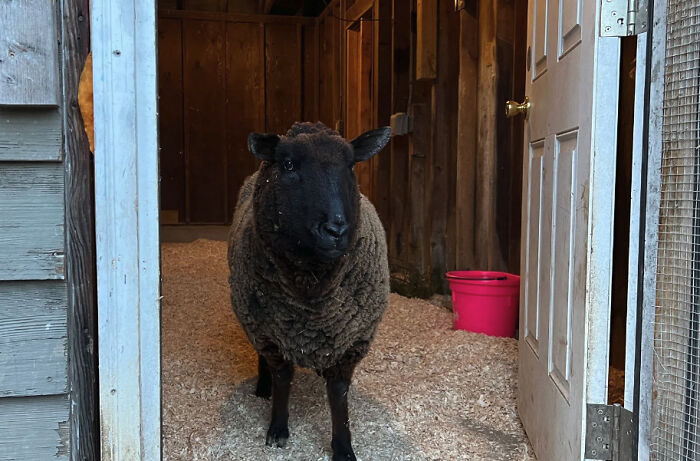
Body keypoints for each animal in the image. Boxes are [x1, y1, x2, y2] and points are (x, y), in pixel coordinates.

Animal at [227, 121, 392, 460]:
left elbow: (338, 394)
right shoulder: (270, 333)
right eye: (289, 164)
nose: (336, 229)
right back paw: (262, 387)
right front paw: (277, 429)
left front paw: (343, 447)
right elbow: (282, 379)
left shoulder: (351, 341)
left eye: (351, 165)